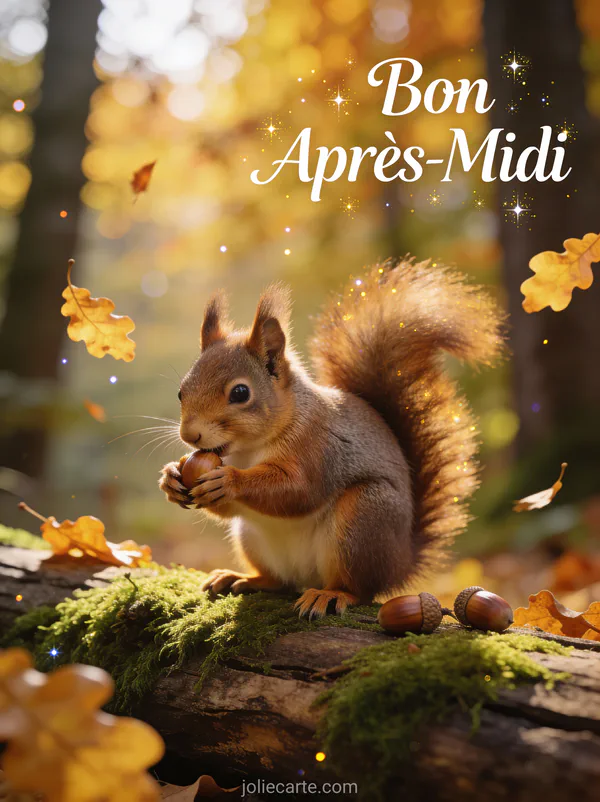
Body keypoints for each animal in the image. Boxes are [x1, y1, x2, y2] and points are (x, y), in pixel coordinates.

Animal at [159, 258, 504, 618]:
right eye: (181, 391)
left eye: (240, 393)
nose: (190, 434)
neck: (249, 450)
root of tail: (401, 562)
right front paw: (171, 478)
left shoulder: (320, 447)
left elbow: (299, 490)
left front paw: (229, 481)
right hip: (252, 537)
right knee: (279, 581)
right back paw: (243, 578)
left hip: (363, 519)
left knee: (360, 589)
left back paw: (331, 595)